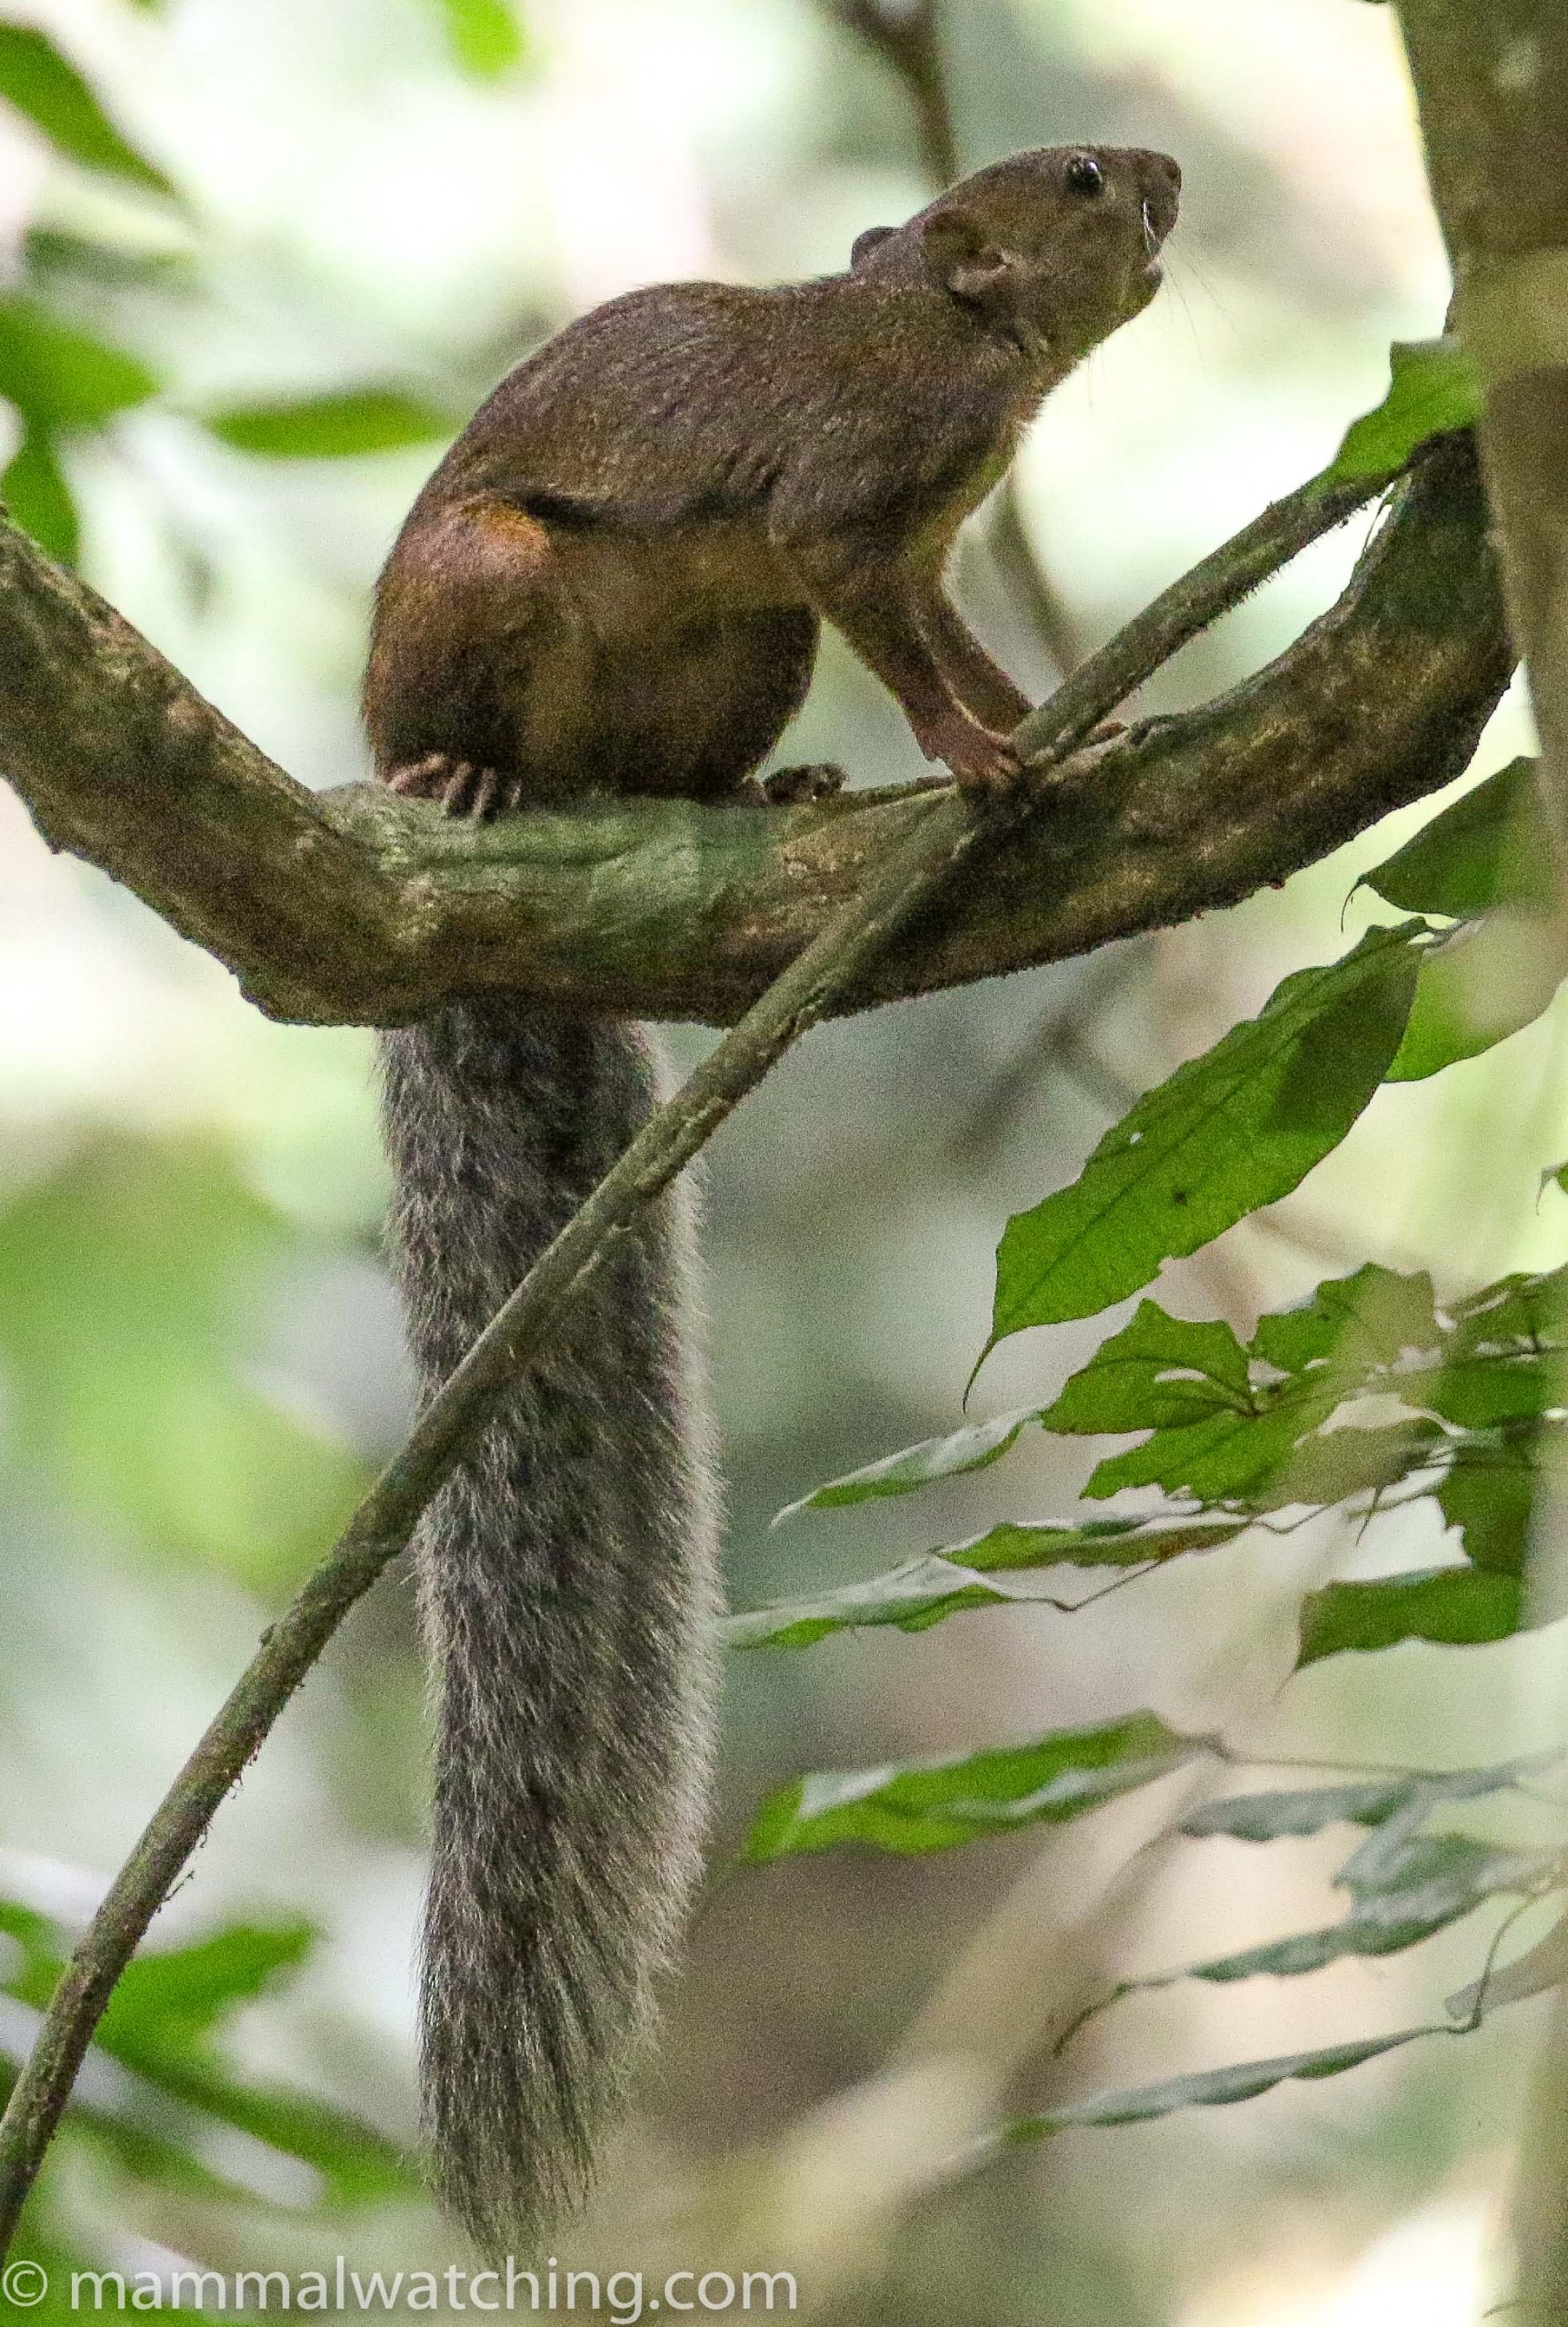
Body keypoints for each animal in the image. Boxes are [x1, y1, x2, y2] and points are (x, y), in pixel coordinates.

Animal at [367, 135, 1172, 2242]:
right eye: (1076, 179)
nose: (1162, 173)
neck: (942, 335)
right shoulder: (846, 518)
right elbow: (903, 634)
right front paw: (980, 756)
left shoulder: (918, 553)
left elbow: (962, 641)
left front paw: (1065, 724)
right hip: (496, 583)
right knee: (461, 730)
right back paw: (460, 781)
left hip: (741, 654)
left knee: (688, 769)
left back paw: (753, 800)